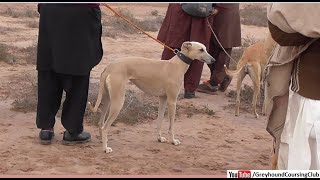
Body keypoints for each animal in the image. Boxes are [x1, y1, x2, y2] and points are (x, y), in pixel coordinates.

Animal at [87, 41, 215, 153]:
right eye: (201, 49)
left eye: (206, 48)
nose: (213, 60)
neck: (176, 65)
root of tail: (109, 67)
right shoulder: (172, 101)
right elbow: (171, 126)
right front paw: (173, 141)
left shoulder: (163, 99)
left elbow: (159, 121)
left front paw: (159, 138)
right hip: (118, 102)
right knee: (105, 127)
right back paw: (105, 148)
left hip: (108, 99)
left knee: (101, 123)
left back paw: (102, 141)